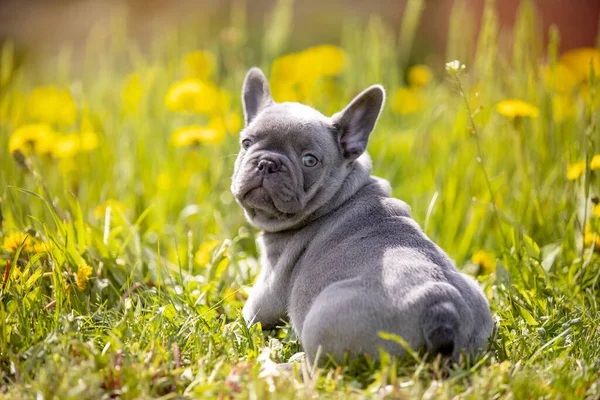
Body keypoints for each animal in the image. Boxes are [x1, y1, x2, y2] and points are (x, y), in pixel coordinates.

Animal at [230, 67, 492, 364]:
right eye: (246, 143)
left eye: (310, 160)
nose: (267, 162)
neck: (340, 195)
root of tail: (442, 307)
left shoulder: (266, 291)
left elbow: (246, 316)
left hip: (320, 322)